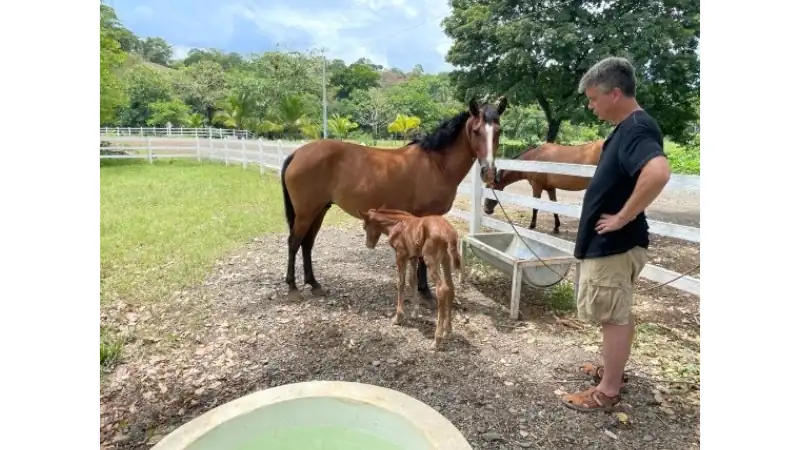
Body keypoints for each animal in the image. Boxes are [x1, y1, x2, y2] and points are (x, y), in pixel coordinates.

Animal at [281, 96, 507, 303]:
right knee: (294, 242)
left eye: (499, 131)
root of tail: (297, 153)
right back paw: (292, 288)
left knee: (307, 243)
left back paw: (314, 284)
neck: (437, 164)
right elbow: (423, 254)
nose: (489, 172)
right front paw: (425, 292)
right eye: (476, 131)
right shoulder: (425, 216)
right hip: (306, 212)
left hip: (319, 209)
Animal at [359, 207, 463, 351]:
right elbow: (412, 280)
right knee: (451, 287)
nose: (368, 245)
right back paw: (448, 330)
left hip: (431, 259)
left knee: (442, 289)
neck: (396, 224)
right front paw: (415, 312)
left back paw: (436, 340)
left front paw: (398, 317)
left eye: (364, 227)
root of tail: (449, 232)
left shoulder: (400, 255)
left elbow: (401, 282)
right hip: (445, 259)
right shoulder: (413, 257)